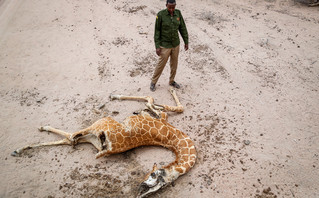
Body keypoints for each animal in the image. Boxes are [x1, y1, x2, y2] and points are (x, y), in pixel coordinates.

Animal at [11, 88, 198, 198]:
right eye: (153, 175)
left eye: (162, 186)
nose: (140, 190)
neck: (174, 138)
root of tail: (108, 148)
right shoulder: (164, 119)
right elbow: (158, 103)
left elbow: (151, 100)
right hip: (94, 133)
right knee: (72, 138)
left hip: (99, 125)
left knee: (72, 137)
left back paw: (24, 144)